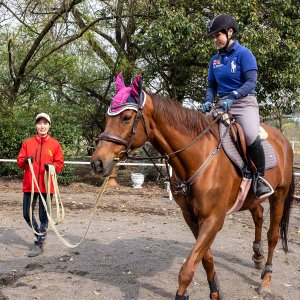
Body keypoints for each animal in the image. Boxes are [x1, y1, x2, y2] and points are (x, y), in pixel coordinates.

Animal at [91, 73, 292, 300]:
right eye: (107, 118)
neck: (199, 157)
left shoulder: (213, 219)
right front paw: (215, 291)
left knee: (273, 236)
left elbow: (187, 269)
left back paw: (266, 279)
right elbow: (205, 258)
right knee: (258, 215)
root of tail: (284, 140)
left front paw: (184, 293)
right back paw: (257, 255)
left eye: (126, 118)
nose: (97, 162)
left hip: (279, 196)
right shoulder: (191, 217)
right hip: (251, 198)